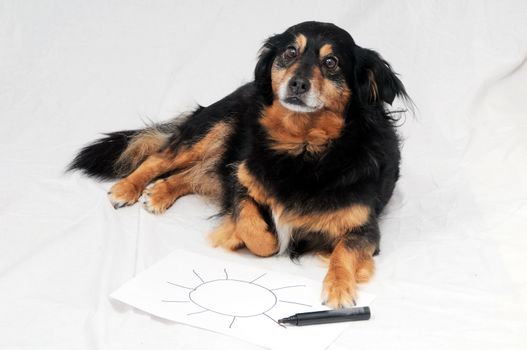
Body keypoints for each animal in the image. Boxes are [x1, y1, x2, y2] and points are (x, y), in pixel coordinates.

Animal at [69, 21, 408, 308]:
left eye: (331, 63)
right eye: (290, 52)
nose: (297, 84)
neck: (303, 147)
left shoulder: (364, 228)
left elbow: (343, 252)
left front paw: (339, 288)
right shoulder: (241, 178)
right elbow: (254, 228)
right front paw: (242, 236)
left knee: (192, 175)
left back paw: (160, 193)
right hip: (216, 127)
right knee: (162, 158)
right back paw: (127, 189)